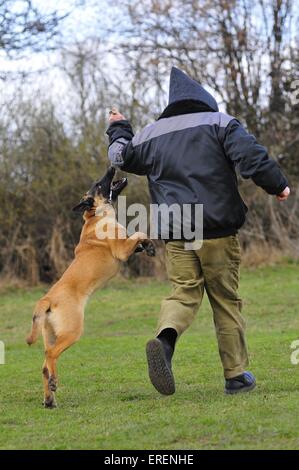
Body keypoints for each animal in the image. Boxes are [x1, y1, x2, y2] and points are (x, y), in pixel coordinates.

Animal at [27, 168, 156, 408]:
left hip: (52, 333)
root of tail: (47, 300)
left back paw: (49, 399)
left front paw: (148, 246)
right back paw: (54, 383)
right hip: (72, 331)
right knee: (50, 354)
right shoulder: (122, 249)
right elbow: (138, 234)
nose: (112, 168)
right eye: (98, 184)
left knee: (43, 366)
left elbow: (139, 238)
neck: (96, 215)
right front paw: (147, 243)